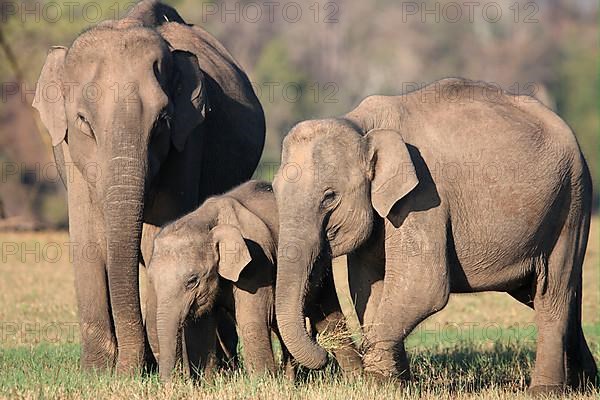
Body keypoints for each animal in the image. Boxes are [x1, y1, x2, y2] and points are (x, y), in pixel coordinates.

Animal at [31, 0, 264, 376]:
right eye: (84, 122)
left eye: (161, 123)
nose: (130, 369)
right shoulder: (68, 151)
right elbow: (87, 243)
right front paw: (97, 373)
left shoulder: (189, 139)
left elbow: (158, 236)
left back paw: (223, 366)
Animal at [146, 181, 360, 382]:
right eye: (152, 282)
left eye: (192, 280)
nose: (171, 382)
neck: (204, 220)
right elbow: (199, 328)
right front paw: (206, 383)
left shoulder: (257, 260)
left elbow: (251, 320)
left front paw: (263, 382)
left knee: (326, 313)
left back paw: (355, 378)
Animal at [270, 79, 596, 394]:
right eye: (275, 190)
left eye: (329, 197)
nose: (323, 354)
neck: (363, 125)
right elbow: (366, 287)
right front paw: (393, 384)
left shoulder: (424, 195)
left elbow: (422, 286)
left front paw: (375, 382)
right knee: (556, 295)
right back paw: (586, 383)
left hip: (570, 202)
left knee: (550, 294)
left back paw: (545, 390)